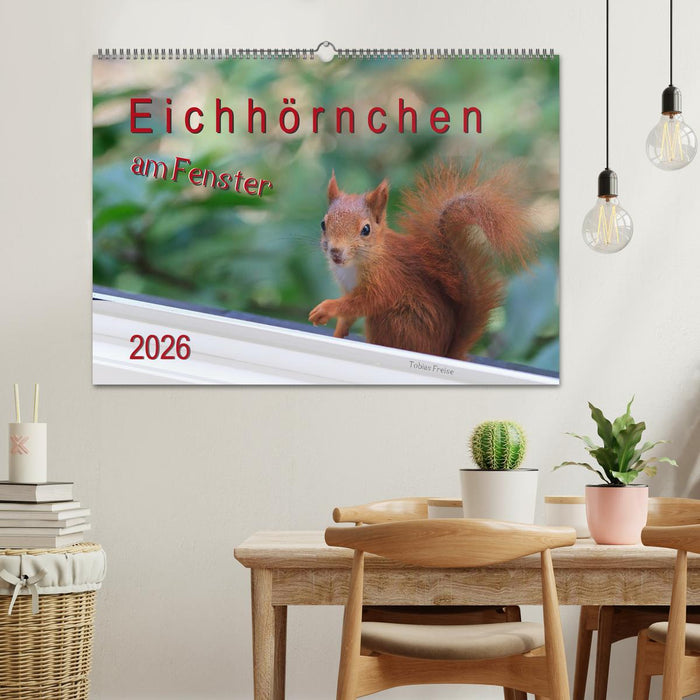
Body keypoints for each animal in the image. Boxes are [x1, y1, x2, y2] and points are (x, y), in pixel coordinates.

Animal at [308, 160, 534, 360]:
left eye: (366, 229)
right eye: (323, 224)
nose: (336, 252)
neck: (354, 265)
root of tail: (443, 353)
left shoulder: (387, 278)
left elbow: (367, 301)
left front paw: (326, 308)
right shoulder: (347, 286)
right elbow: (349, 314)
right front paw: (338, 332)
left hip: (395, 322)